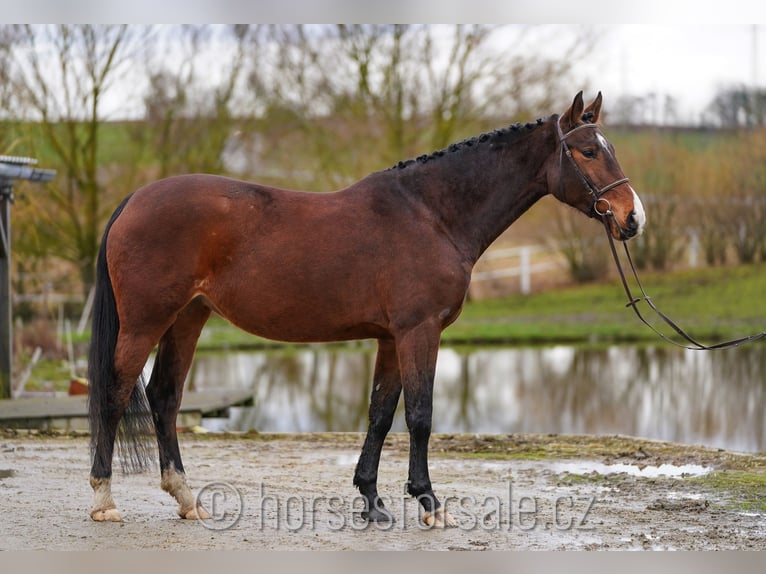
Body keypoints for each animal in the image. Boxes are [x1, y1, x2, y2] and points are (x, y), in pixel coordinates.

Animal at [87, 92, 644, 528]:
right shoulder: (420, 331)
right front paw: (429, 502)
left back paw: (186, 499)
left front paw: (372, 501)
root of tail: (135, 198)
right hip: (145, 321)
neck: (431, 214)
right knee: (116, 394)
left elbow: (380, 414)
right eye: (589, 150)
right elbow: (419, 414)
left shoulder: (390, 337)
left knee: (165, 397)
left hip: (188, 317)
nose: (632, 217)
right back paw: (105, 500)